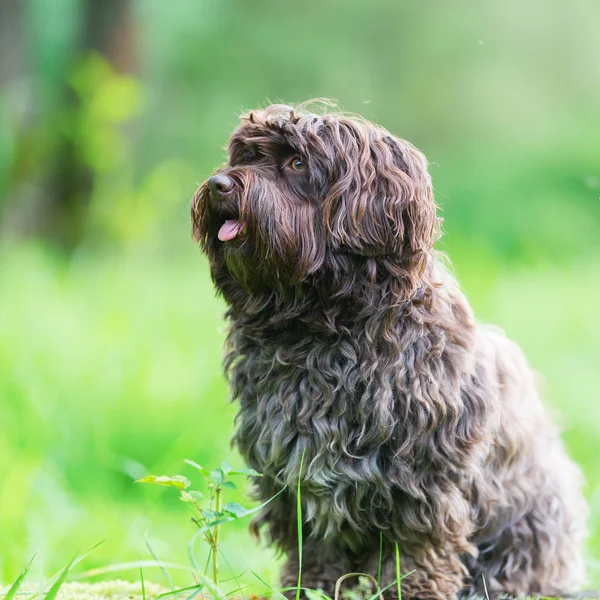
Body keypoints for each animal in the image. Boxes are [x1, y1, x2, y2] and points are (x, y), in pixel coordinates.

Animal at [191, 103, 584, 600]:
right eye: (245, 155)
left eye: (297, 163)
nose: (218, 185)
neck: (325, 330)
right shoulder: (297, 481)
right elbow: (315, 556)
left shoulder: (421, 488)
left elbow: (414, 560)